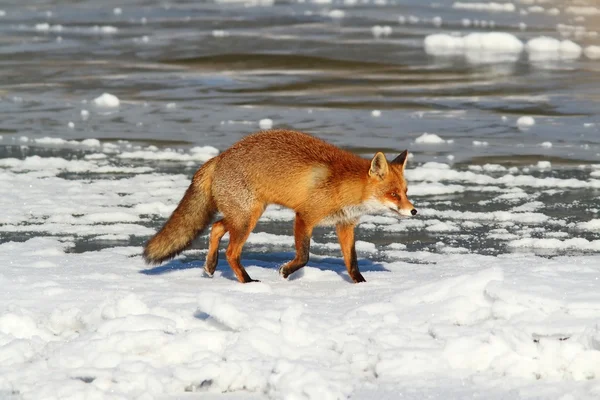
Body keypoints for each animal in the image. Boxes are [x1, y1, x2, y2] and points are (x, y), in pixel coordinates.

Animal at [144, 130, 418, 282]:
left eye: (405, 192)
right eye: (393, 194)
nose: (414, 211)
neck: (343, 186)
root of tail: (220, 156)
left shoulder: (345, 225)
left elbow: (352, 263)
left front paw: (362, 286)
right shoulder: (304, 216)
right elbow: (304, 256)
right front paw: (286, 272)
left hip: (241, 215)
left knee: (216, 227)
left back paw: (211, 266)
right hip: (248, 218)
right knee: (231, 251)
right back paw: (247, 281)